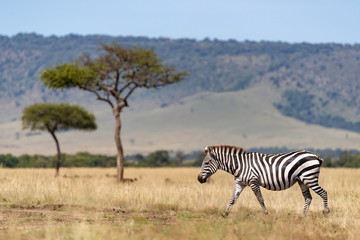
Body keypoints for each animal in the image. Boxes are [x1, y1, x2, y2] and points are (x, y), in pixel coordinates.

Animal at [198, 145, 330, 217]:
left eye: (206, 163)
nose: (199, 179)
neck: (240, 165)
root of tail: (315, 156)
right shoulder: (240, 183)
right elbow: (232, 199)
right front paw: (225, 214)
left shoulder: (253, 181)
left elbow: (260, 198)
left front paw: (266, 213)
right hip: (302, 180)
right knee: (308, 198)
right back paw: (302, 216)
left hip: (310, 178)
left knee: (323, 192)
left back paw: (326, 211)